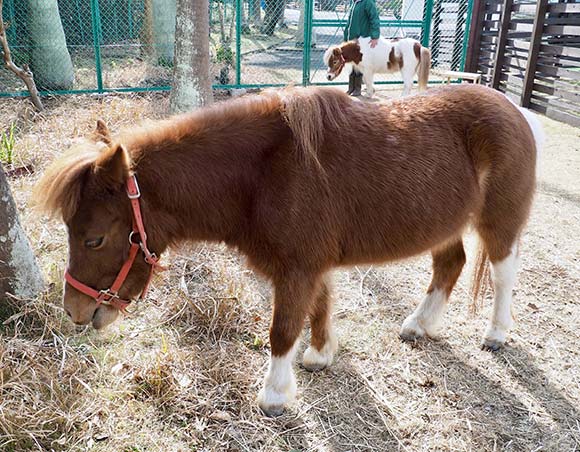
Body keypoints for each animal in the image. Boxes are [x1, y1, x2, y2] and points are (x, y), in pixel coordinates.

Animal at [34, 85, 540, 416]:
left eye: (94, 239)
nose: (75, 310)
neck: (263, 173)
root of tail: (515, 110)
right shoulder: (312, 266)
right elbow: (320, 306)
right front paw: (320, 354)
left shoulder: (297, 269)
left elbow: (282, 330)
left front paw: (275, 396)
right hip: (445, 226)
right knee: (450, 264)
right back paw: (420, 325)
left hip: (499, 222)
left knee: (503, 273)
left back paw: (497, 333)